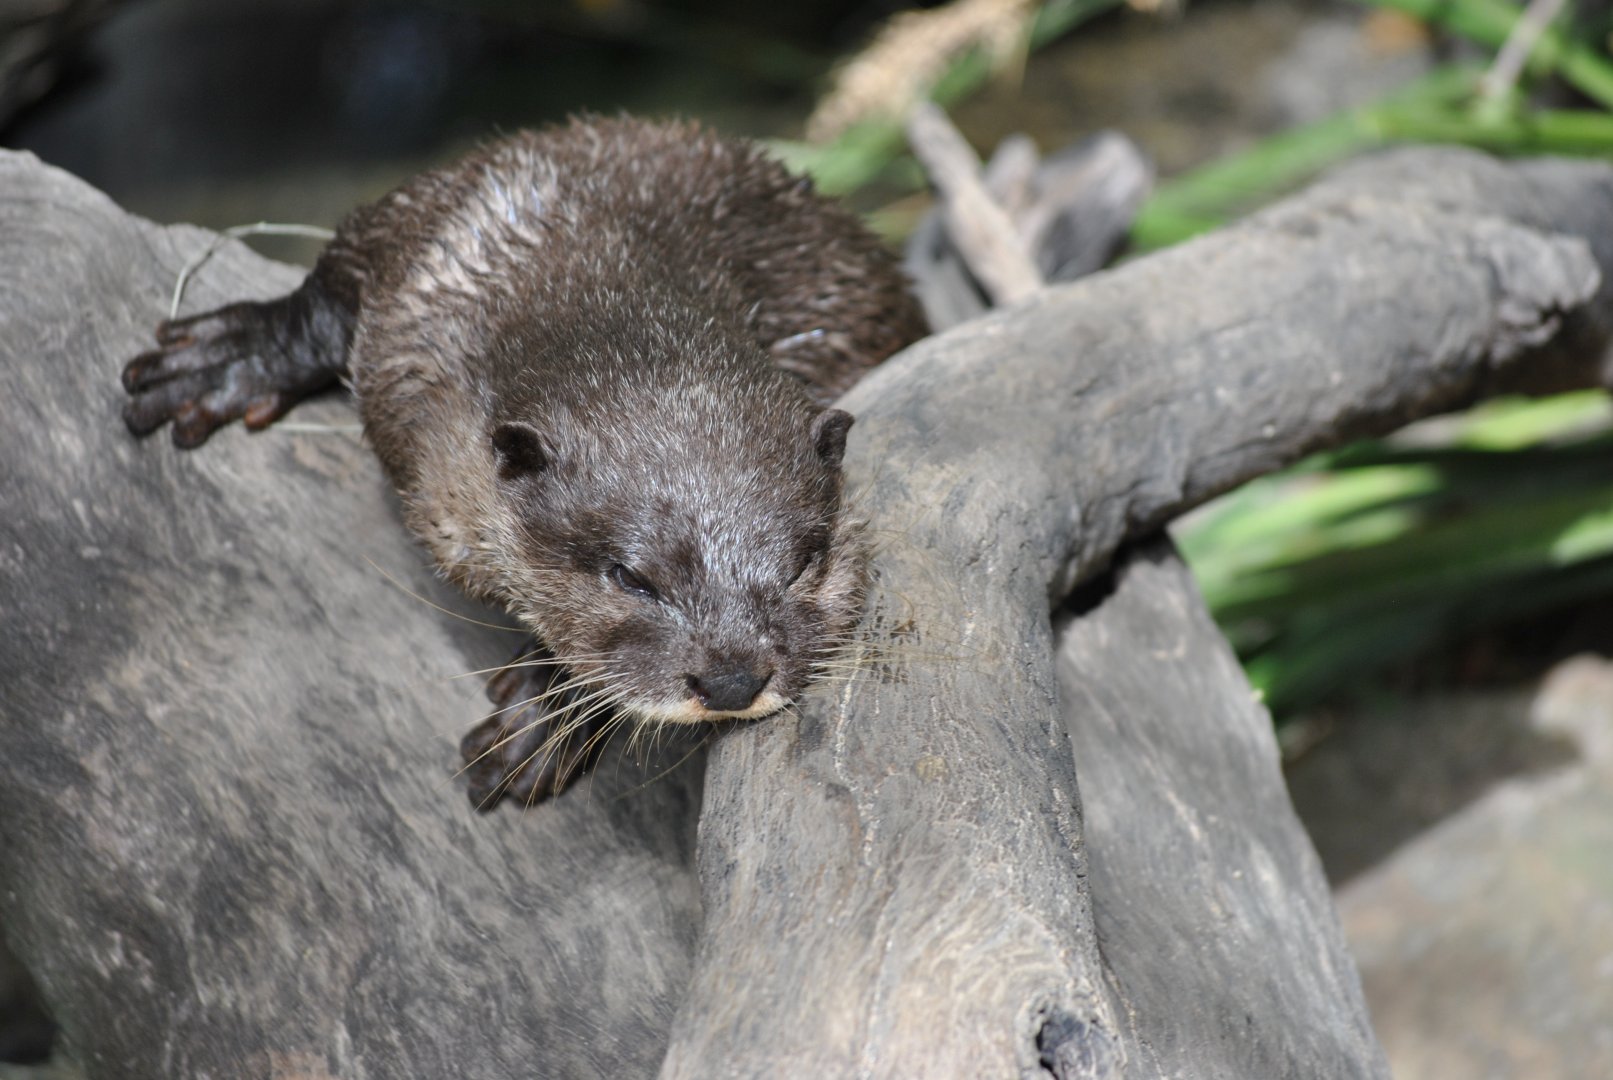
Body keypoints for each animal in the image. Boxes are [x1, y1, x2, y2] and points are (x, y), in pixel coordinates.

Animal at [120, 116, 928, 808]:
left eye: (804, 565)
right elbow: (325, 293)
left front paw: (541, 718)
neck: (592, 255)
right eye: (630, 577)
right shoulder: (432, 225)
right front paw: (231, 356)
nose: (731, 679)